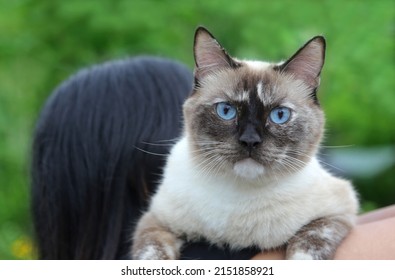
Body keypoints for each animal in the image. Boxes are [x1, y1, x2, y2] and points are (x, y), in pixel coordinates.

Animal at [132, 27, 358, 260]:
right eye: (226, 111)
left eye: (279, 115)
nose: (250, 140)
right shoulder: (156, 221)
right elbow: (151, 254)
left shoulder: (337, 212)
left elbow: (306, 247)